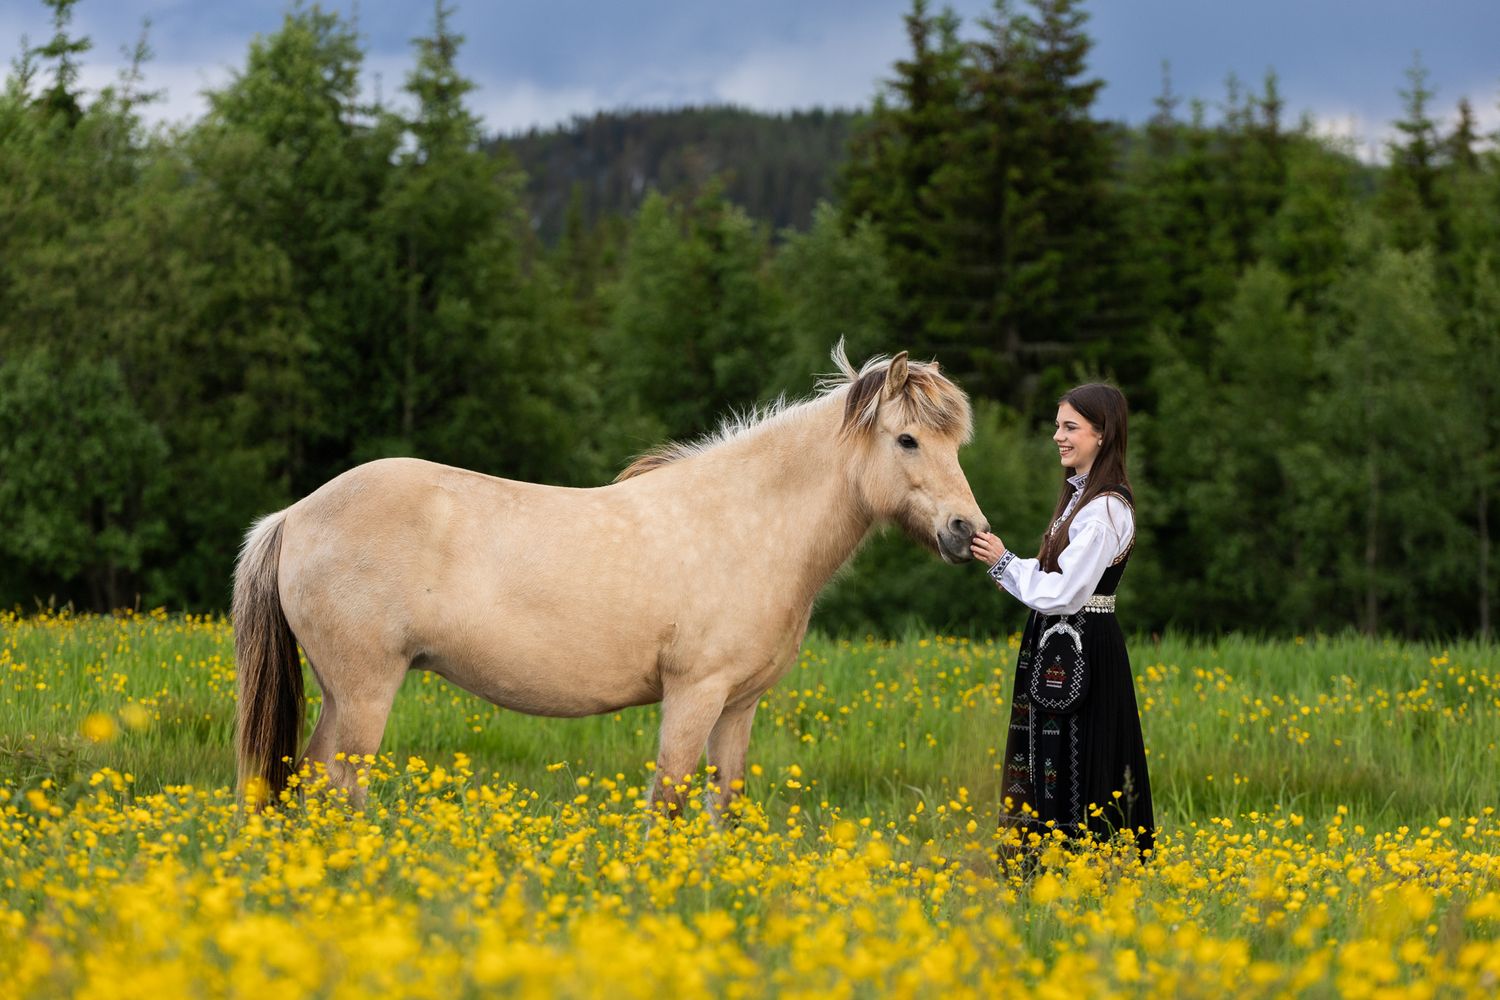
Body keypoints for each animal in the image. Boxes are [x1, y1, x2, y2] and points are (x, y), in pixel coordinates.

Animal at [233, 343, 989, 815]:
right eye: (907, 440)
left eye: (956, 444)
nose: (966, 532)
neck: (745, 523)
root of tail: (293, 517)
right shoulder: (693, 695)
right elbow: (671, 801)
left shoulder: (739, 706)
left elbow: (725, 805)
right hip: (365, 691)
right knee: (338, 782)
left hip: (343, 694)